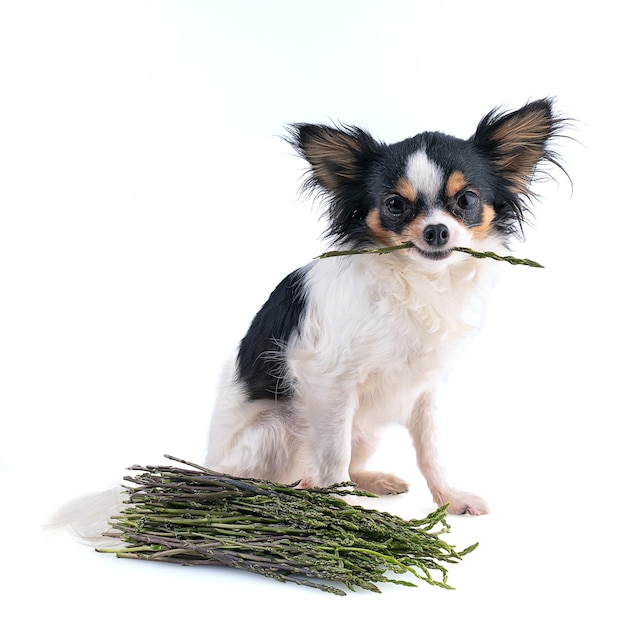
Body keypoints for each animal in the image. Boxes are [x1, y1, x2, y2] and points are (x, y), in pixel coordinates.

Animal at [205, 98, 568, 512]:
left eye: (467, 200)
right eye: (395, 205)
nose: (436, 231)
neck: (419, 280)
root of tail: (210, 467)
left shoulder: (425, 389)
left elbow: (430, 451)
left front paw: (449, 498)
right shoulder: (329, 382)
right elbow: (333, 454)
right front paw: (339, 508)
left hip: (365, 432)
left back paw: (371, 481)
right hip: (277, 429)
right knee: (282, 473)